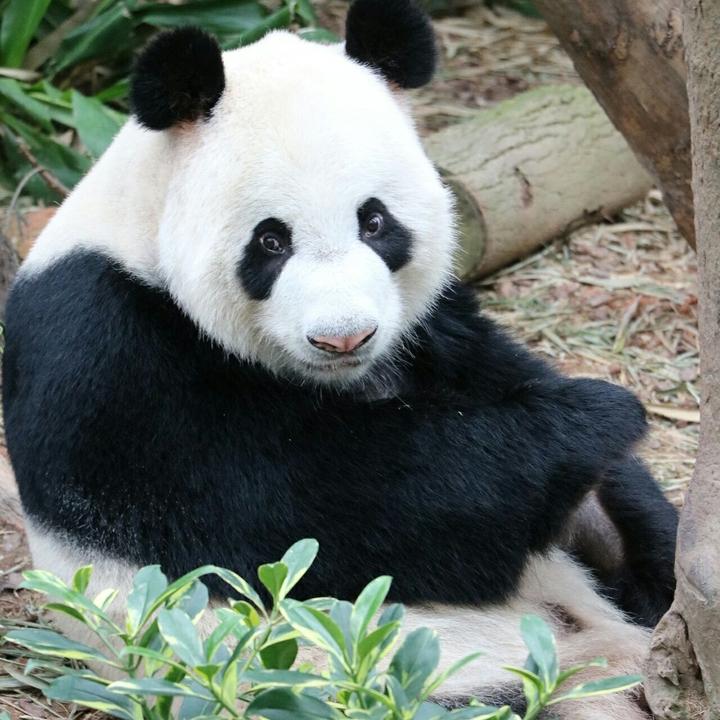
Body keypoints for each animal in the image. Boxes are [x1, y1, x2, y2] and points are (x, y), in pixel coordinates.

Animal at [3, 0, 678, 717]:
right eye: (270, 241)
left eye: (374, 222)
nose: (345, 338)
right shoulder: (104, 355)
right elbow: (322, 505)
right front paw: (595, 419)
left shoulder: (433, 329)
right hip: (379, 679)